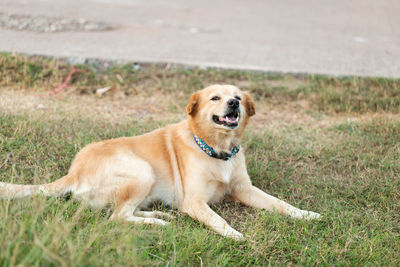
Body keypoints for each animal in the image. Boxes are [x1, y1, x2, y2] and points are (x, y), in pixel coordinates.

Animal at [0, 85, 318, 240]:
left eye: (238, 97)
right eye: (216, 98)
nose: (234, 104)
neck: (216, 149)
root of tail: (74, 172)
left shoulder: (244, 189)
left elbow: (280, 203)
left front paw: (306, 214)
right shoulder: (193, 202)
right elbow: (219, 219)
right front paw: (234, 234)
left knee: (124, 212)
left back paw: (157, 215)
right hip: (142, 171)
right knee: (117, 217)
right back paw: (158, 223)